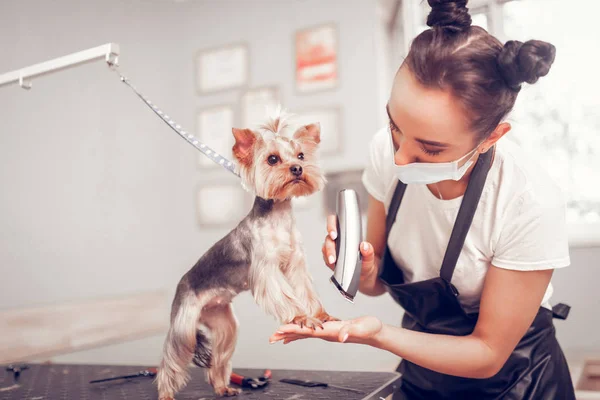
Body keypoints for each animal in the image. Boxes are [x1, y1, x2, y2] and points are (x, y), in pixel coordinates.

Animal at [155, 108, 338, 398]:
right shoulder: (266, 269)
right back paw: (166, 392)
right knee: (171, 358)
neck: (279, 217)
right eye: (272, 159)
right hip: (184, 325)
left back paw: (222, 387)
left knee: (219, 358)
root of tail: (182, 283)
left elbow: (305, 291)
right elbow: (285, 294)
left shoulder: (295, 264)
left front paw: (318, 314)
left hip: (223, 323)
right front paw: (300, 317)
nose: (297, 168)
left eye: (301, 155)